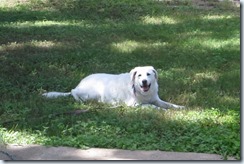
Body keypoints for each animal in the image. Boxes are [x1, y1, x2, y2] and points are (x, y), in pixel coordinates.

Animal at [43, 66, 185, 109]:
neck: (143, 92)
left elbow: (168, 104)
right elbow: (151, 106)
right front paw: (161, 110)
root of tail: (79, 84)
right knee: (74, 93)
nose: (144, 81)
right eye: (139, 75)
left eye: (148, 74)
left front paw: (179, 107)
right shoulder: (134, 104)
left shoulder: (156, 99)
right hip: (94, 92)